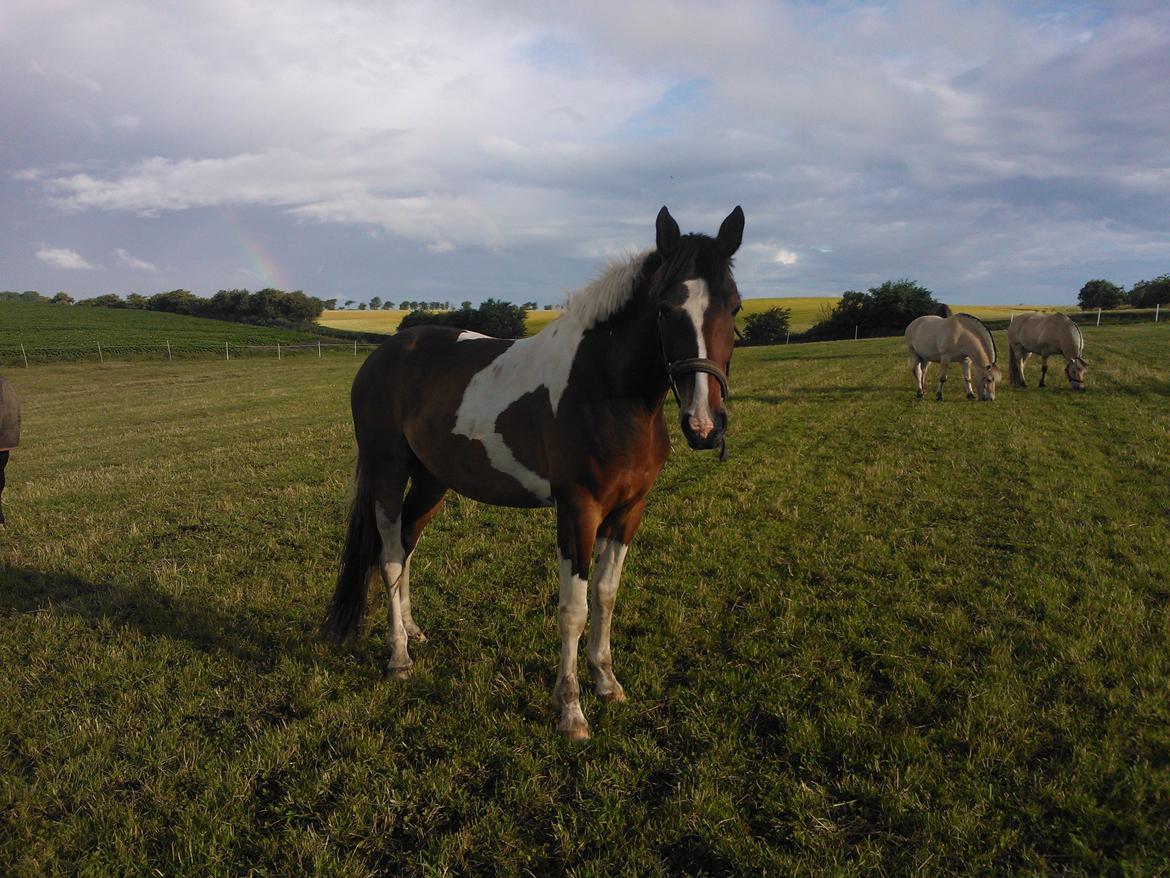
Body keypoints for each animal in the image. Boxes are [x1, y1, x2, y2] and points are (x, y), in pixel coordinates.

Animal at [322, 206, 739, 744]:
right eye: (666, 309)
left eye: (735, 307)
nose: (704, 425)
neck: (604, 389)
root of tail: (384, 354)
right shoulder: (578, 511)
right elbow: (573, 609)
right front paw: (572, 711)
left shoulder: (629, 510)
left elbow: (606, 595)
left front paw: (607, 683)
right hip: (387, 475)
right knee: (390, 556)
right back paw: (399, 657)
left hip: (433, 481)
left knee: (407, 545)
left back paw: (413, 632)